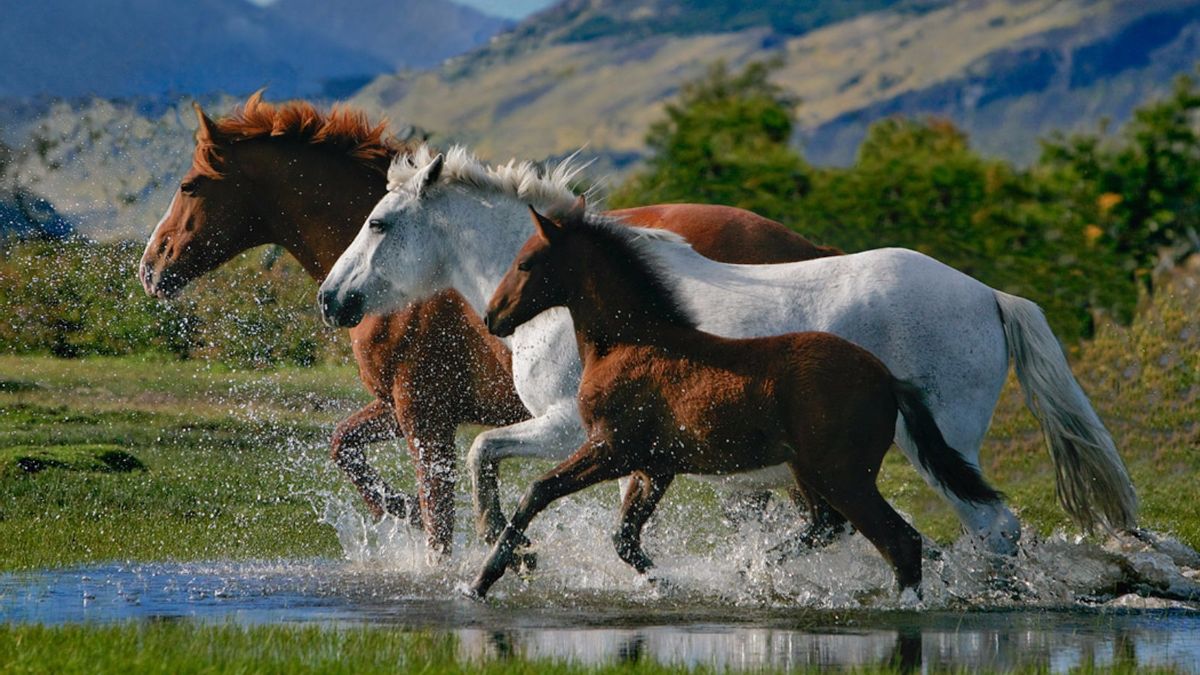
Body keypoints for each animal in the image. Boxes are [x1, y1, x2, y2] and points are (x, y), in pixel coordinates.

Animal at [136, 93, 840, 557]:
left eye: (190, 184)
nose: (149, 268)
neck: (417, 279)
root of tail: (809, 248)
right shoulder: (404, 407)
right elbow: (346, 447)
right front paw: (401, 511)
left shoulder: (423, 413)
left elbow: (439, 515)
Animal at [316, 142, 1132, 552]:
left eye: (380, 222)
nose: (332, 299)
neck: (581, 300)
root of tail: (989, 295)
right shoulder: (633, 447)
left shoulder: (571, 427)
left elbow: (485, 450)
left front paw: (507, 547)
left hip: (941, 448)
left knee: (992, 527)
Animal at [470, 204, 1003, 593]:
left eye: (525, 262)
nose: (493, 317)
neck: (633, 341)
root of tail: (888, 379)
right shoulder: (655, 465)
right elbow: (624, 539)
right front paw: (668, 583)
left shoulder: (611, 448)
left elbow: (537, 492)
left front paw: (485, 576)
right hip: (811, 472)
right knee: (833, 526)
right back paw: (759, 568)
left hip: (843, 475)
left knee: (904, 540)